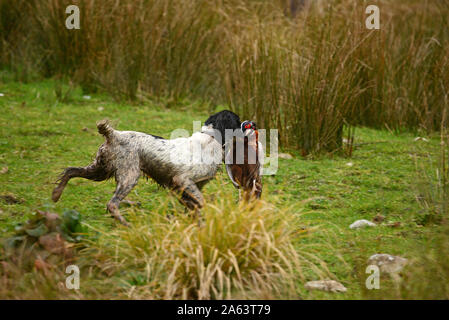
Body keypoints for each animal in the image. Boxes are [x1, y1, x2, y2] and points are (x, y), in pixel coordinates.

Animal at [52, 119, 222, 225]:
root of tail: (115, 134)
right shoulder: (182, 180)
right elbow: (202, 202)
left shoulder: (184, 188)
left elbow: (194, 206)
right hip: (130, 176)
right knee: (112, 203)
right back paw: (126, 224)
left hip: (100, 170)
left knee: (71, 170)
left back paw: (56, 194)